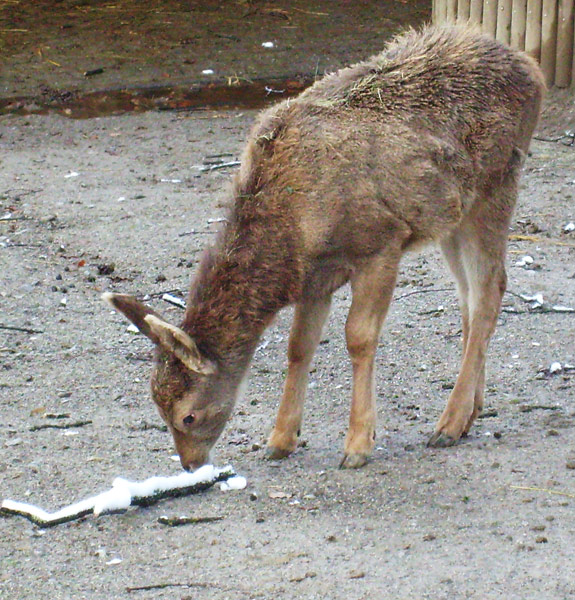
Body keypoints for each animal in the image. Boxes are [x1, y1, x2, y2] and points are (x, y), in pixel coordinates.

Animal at [102, 25, 544, 472]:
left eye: (187, 415)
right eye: (157, 405)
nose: (191, 464)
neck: (294, 229)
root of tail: (532, 68)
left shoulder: (381, 241)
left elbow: (358, 338)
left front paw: (359, 444)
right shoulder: (315, 275)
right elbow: (299, 346)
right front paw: (281, 439)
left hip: (498, 185)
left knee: (489, 292)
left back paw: (449, 424)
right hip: (452, 214)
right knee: (469, 296)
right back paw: (470, 412)